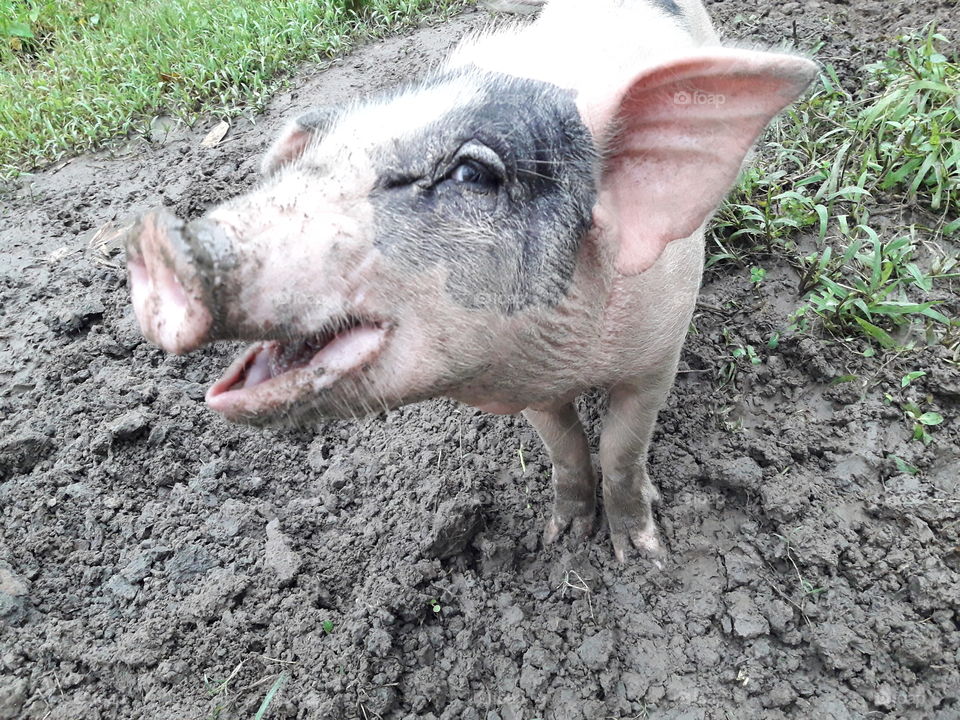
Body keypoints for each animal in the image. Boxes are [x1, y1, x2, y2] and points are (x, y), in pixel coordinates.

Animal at [125, 0, 816, 562]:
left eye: (471, 174)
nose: (156, 238)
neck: (577, 358)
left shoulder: (659, 353)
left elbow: (623, 449)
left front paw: (642, 555)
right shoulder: (525, 379)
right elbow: (565, 446)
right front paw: (560, 538)